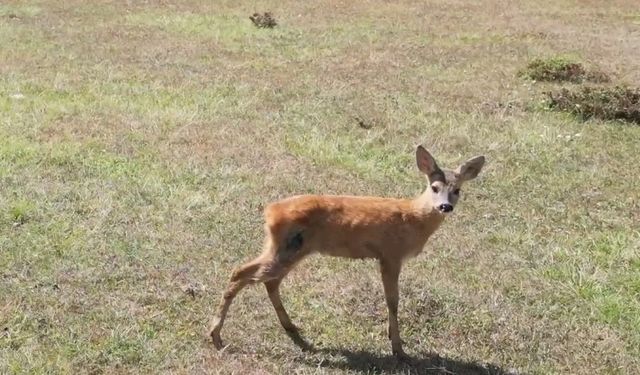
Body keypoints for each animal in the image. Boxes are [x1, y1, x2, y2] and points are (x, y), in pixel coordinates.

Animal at [210, 145, 484, 360]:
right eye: (435, 187)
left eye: (457, 190)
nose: (445, 206)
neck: (413, 218)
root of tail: (270, 211)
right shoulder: (390, 255)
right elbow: (393, 301)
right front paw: (398, 348)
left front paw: (393, 340)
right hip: (287, 248)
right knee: (241, 273)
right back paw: (216, 335)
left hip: (289, 249)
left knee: (268, 281)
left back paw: (291, 328)